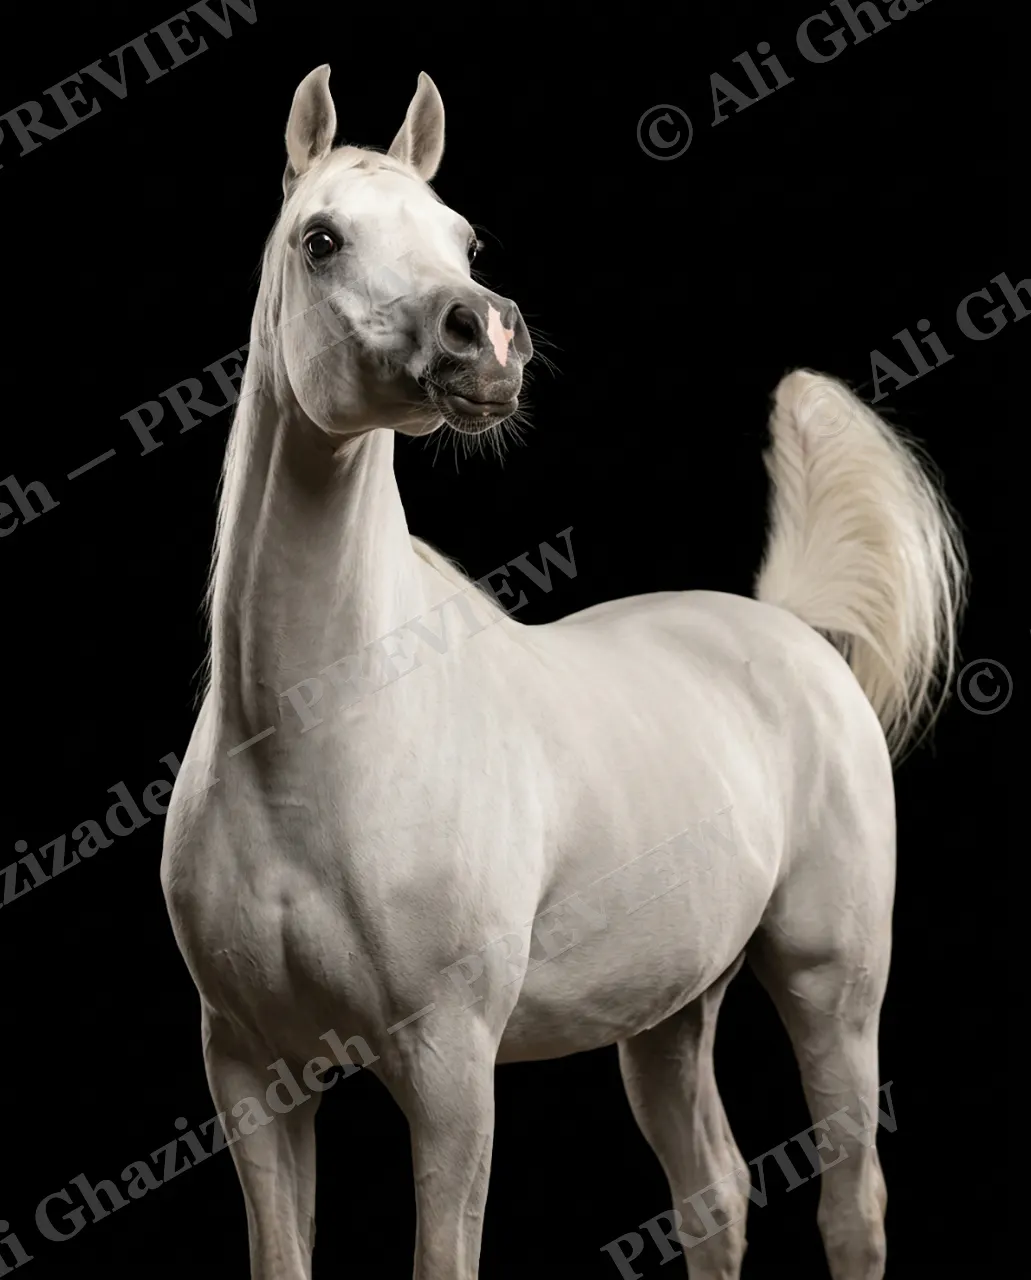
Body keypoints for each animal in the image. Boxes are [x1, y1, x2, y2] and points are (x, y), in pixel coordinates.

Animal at [160, 65, 966, 1280]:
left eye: (461, 236)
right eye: (321, 239)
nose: (485, 335)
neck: (315, 740)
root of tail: (785, 632)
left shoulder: (450, 1070)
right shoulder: (249, 1072)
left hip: (831, 978)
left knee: (851, 1205)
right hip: (670, 1006)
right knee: (714, 1191)